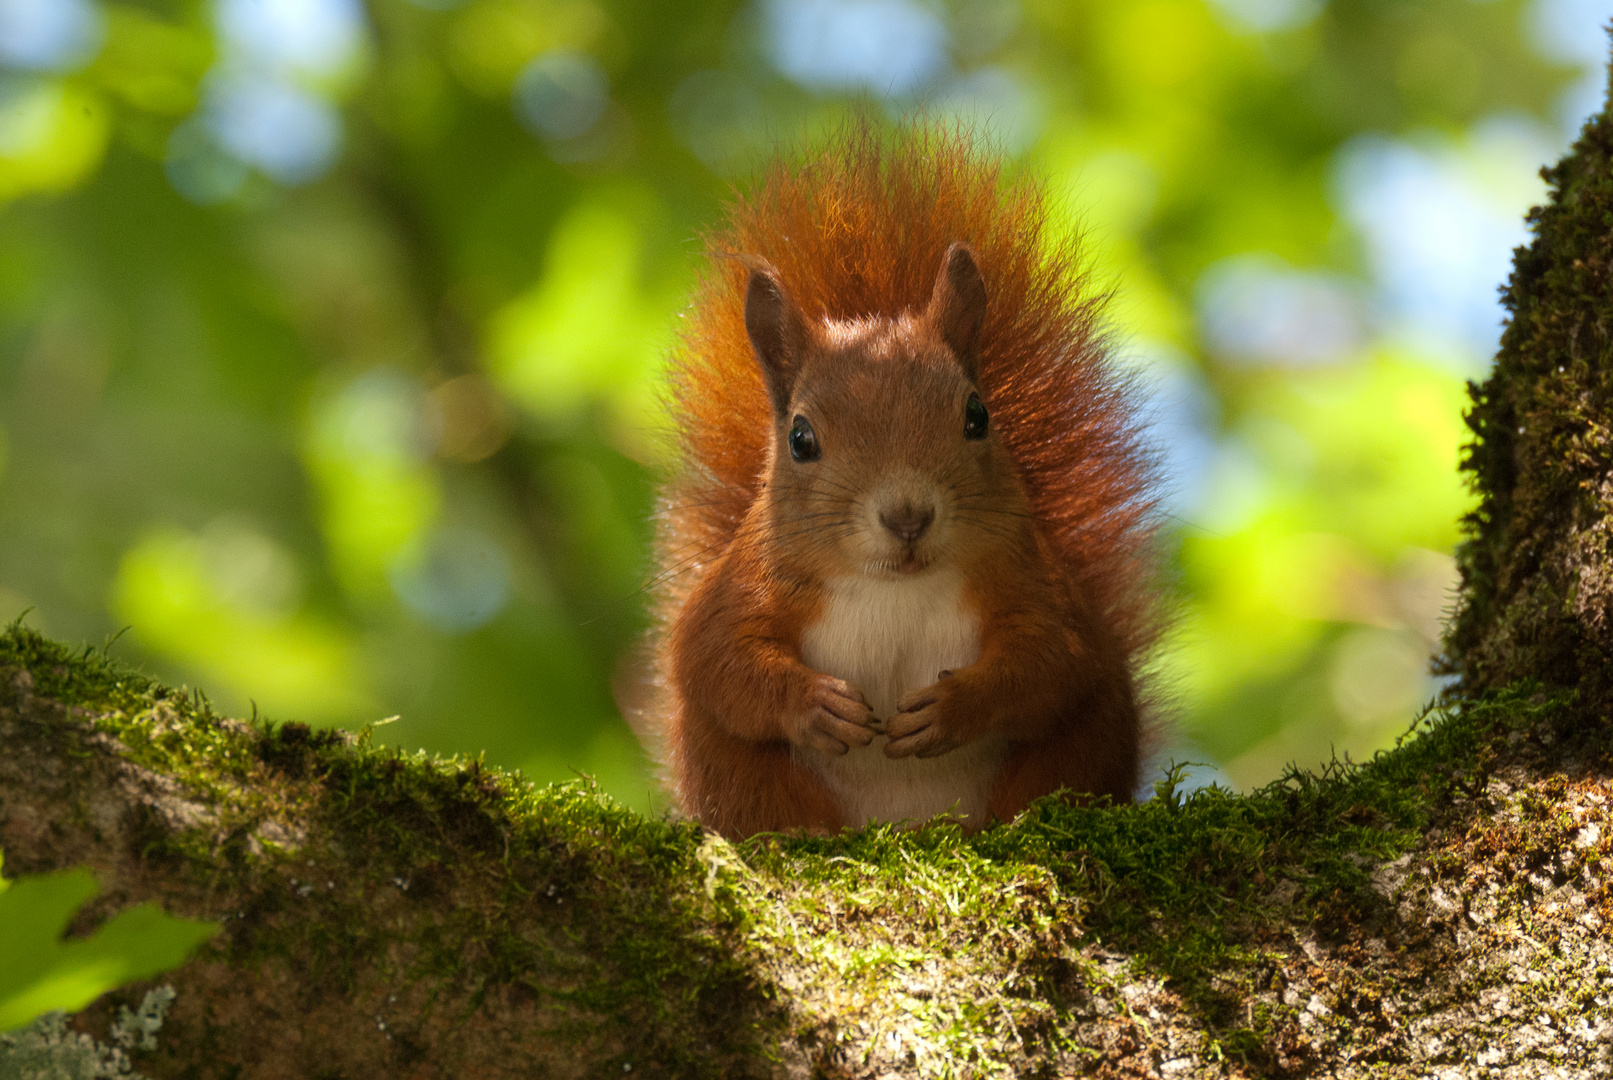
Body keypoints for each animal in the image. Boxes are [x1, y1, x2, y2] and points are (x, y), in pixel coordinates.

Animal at [638, 124, 1161, 838]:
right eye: (800, 439)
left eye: (978, 415)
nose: (908, 516)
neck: (894, 590)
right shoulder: (740, 587)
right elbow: (714, 659)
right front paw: (814, 704)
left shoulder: (1034, 582)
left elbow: (1054, 659)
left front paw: (956, 705)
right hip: (735, 771)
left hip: (1080, 742)